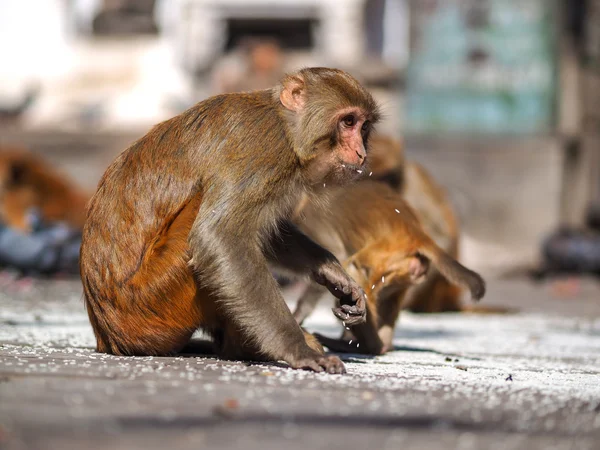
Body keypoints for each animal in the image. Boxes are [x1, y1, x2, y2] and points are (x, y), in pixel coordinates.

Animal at [79, 67, 380, 376]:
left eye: (364, 127)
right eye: (348, 121)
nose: (361, 153)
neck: (285, 128)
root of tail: (108, 337)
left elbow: (264, 233)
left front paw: (331, 270)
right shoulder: (261, 149)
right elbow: (220, 236)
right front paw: (296, 349)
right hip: (150, 305)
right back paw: (245, 348)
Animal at [292, 181, 488, 356]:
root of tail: (415, 232)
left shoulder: (312, 223)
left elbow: (331, 260)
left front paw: (298, 317)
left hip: (387, 259)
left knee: (354, 270)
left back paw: (369, 347)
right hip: (405, 272)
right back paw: (380, 345)